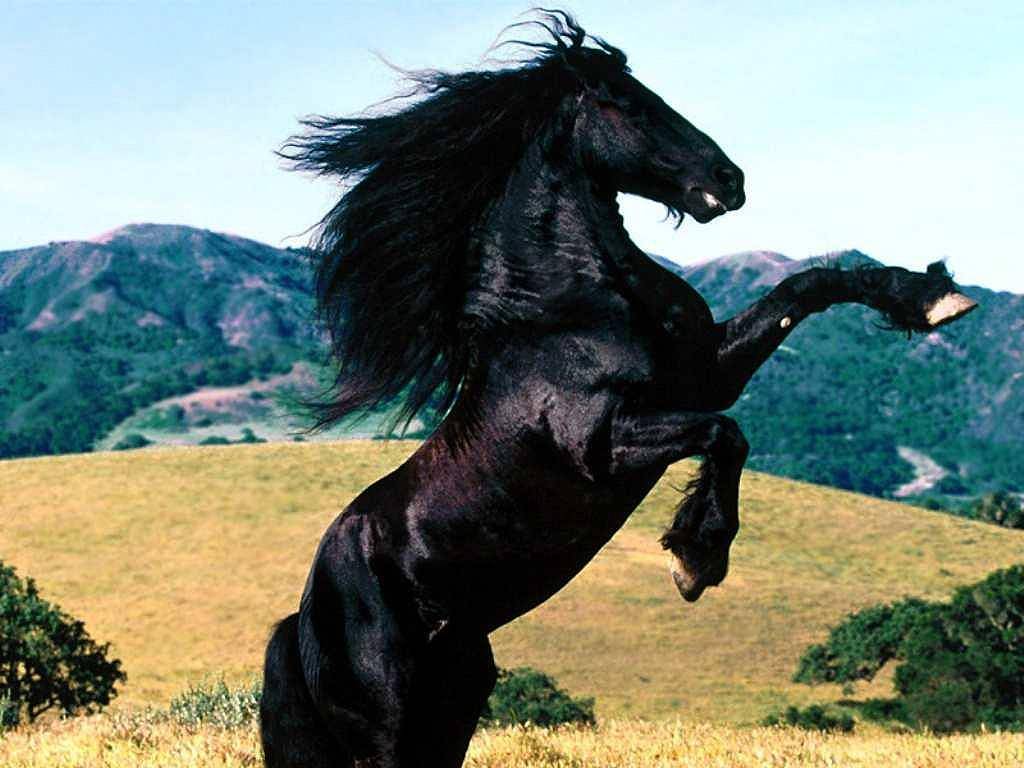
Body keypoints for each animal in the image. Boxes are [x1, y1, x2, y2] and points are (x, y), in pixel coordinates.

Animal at [260, 12, 976, 767]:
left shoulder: (708, 372)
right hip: (387, 723)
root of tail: (301, 617)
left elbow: (806, 288)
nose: (729, 179)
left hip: (453, 704)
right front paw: (695, 558)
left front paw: (931, 298)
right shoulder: (605, 442)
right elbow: (725, 434)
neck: (566, 307)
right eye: (629, 105)